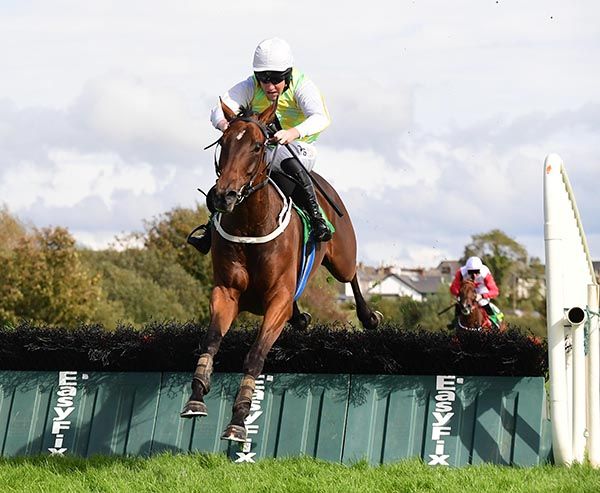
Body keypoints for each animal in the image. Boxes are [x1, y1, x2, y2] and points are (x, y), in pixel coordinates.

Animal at [180, 99, 383, 442]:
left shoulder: (277, 300)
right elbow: (211, 342)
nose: (224, 196)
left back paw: (368, 317)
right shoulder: (226, 292)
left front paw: (240, 419)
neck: (251, 223)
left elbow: (255, 355)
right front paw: (196, 397)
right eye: (223, 143)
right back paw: (300, 317)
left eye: (257, 146)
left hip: (342, 256)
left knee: (352, 276)